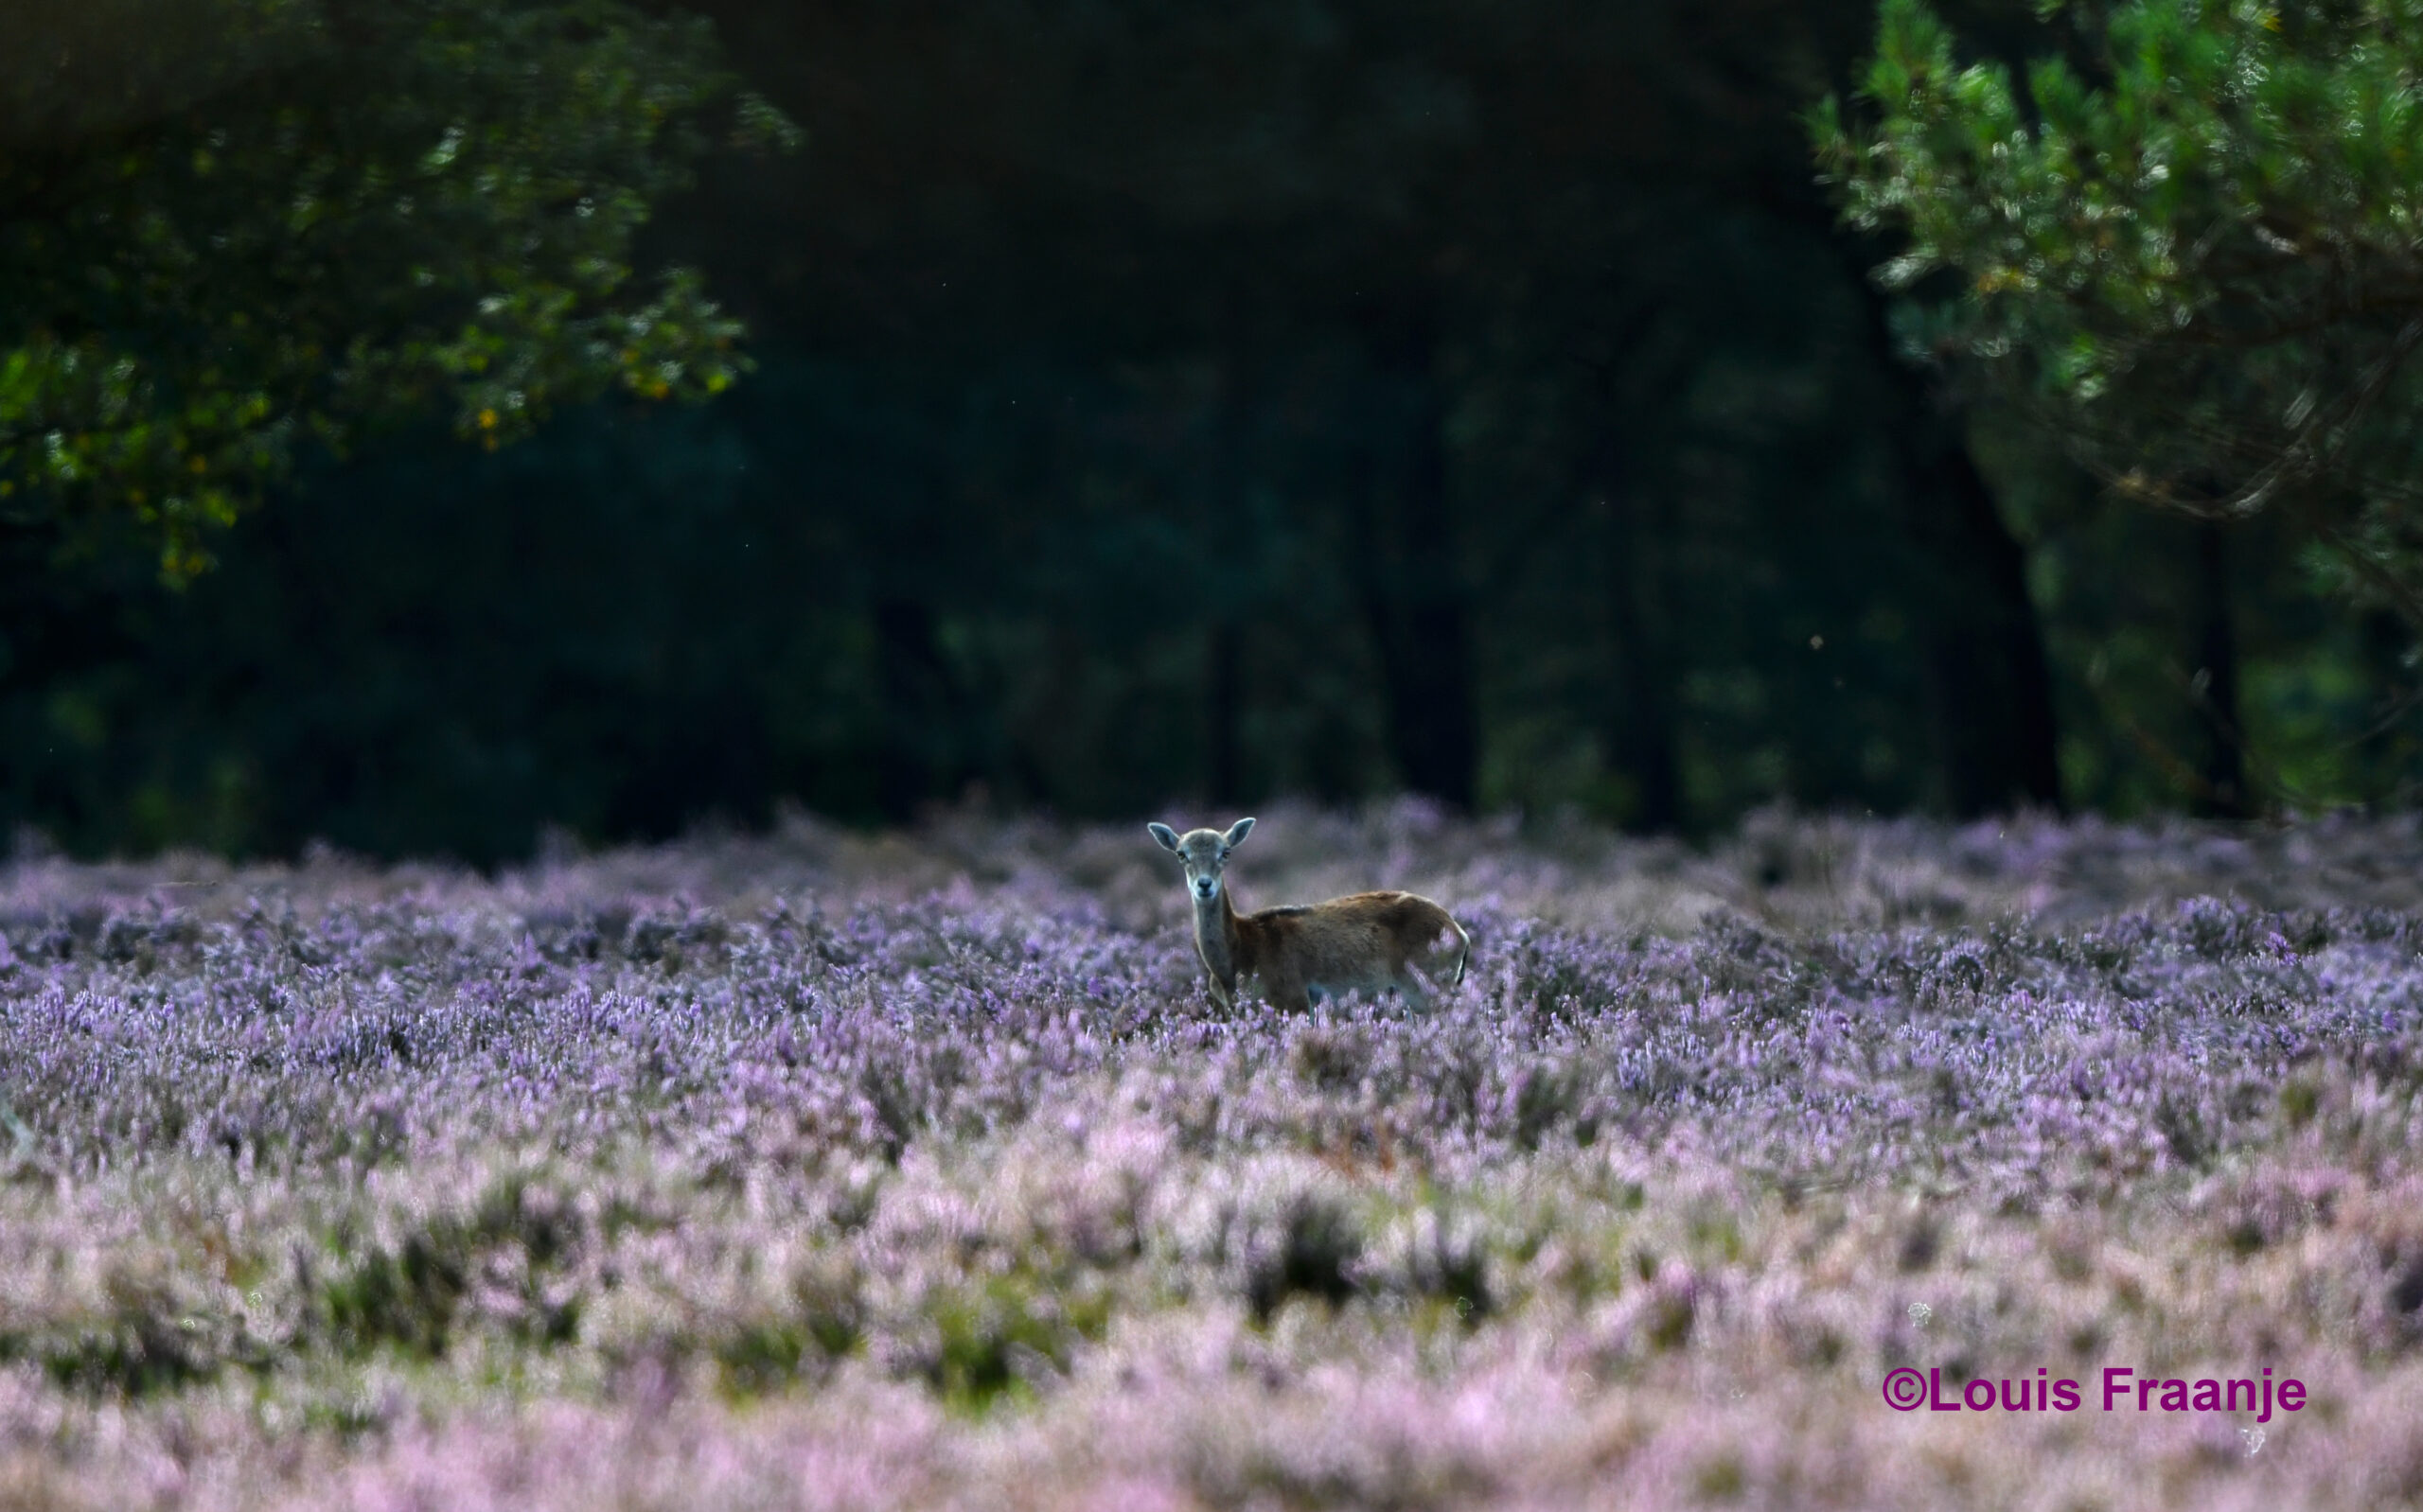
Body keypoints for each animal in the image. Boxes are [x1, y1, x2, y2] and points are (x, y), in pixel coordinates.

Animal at [1143, 814, 1463, 1017]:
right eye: (1181, 854)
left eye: (1226, 852)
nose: (1205, 884)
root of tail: (1460, 933)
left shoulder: (1294, 998)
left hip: (1425, 988)